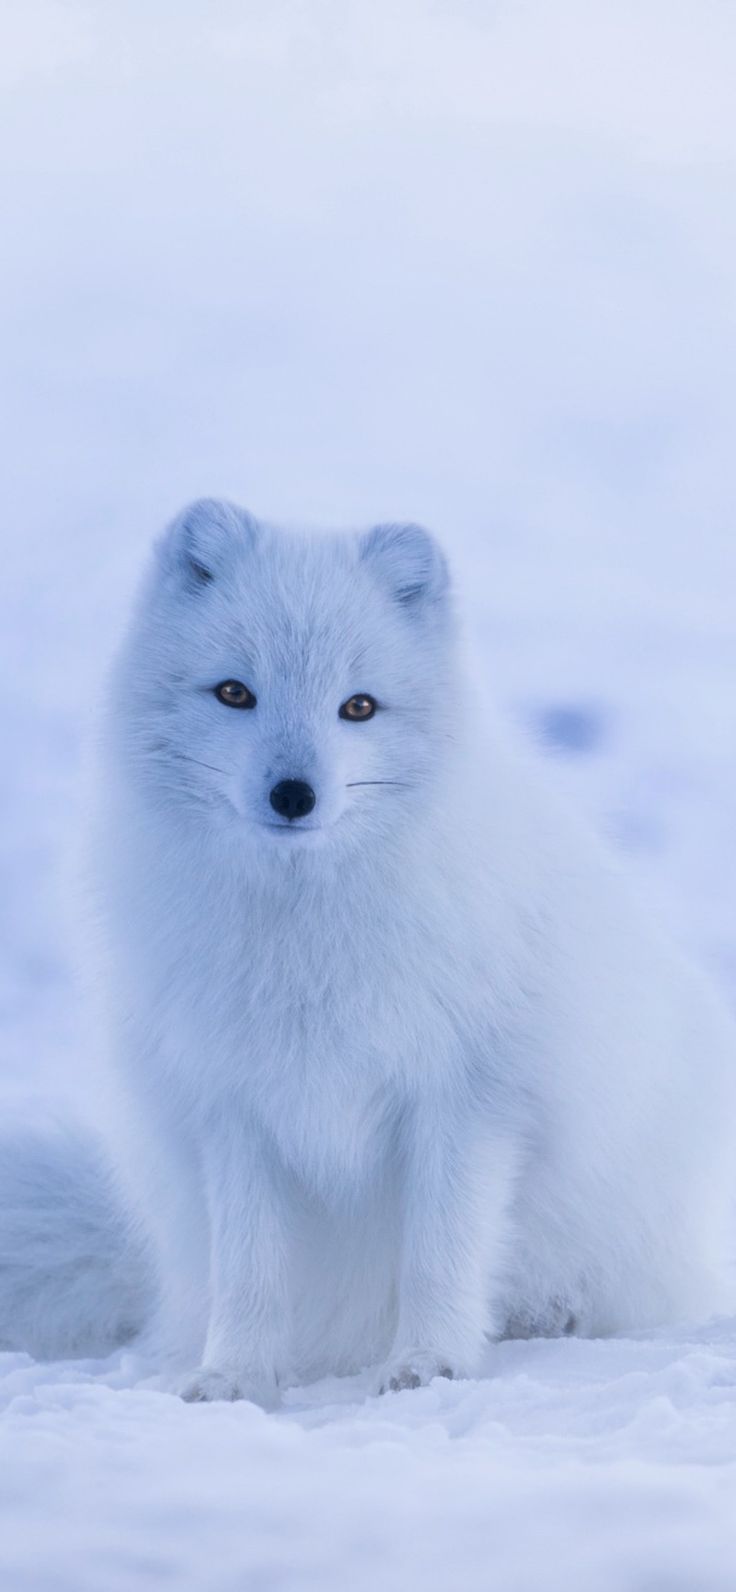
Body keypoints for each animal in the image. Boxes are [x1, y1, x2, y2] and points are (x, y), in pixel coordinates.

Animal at [1, 497, 735, 1402]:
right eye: (235, 692)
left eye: (359, 707)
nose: (294, 794)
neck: (304, 934)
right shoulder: (231, 1107)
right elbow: (249, 1271)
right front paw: (234, 1377)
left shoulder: (465, 1097)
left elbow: (440, 1253)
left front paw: (430, 1364)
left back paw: (547, 1315)